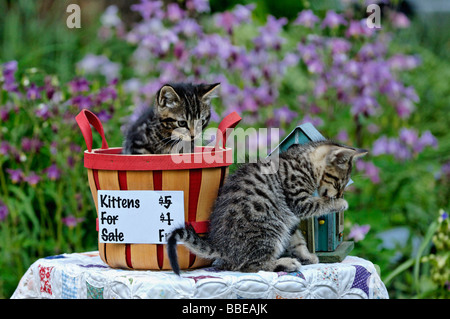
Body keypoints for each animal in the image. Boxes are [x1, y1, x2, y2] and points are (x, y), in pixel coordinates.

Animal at [167, 141, 368, 276]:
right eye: (339, 183)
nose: (340, 195)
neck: (303, 163)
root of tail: (222, 247)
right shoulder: (298, 201)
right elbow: (319, 203)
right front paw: (339, 204)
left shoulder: (291, 218)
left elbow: (297, 239)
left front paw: (306, 256)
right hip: (269, 228)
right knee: (250, 266)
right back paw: (285, 263)